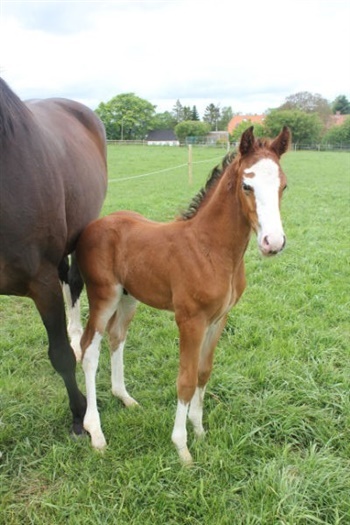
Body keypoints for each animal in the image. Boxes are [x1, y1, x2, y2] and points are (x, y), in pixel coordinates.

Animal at [76, 125, 290, 460]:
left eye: (283, 186)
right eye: (247, 185)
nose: (273, 242)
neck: (210, 248)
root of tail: (92, 226)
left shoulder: (219, 319)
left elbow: (203, 372)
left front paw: (199, 429)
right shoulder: (190, 320)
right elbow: (186, 379)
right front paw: (182, 447)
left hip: (128, 297)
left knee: (116, 337)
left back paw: (124, 397)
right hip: (103, 296)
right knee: (88, 350)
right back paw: (95, 432)